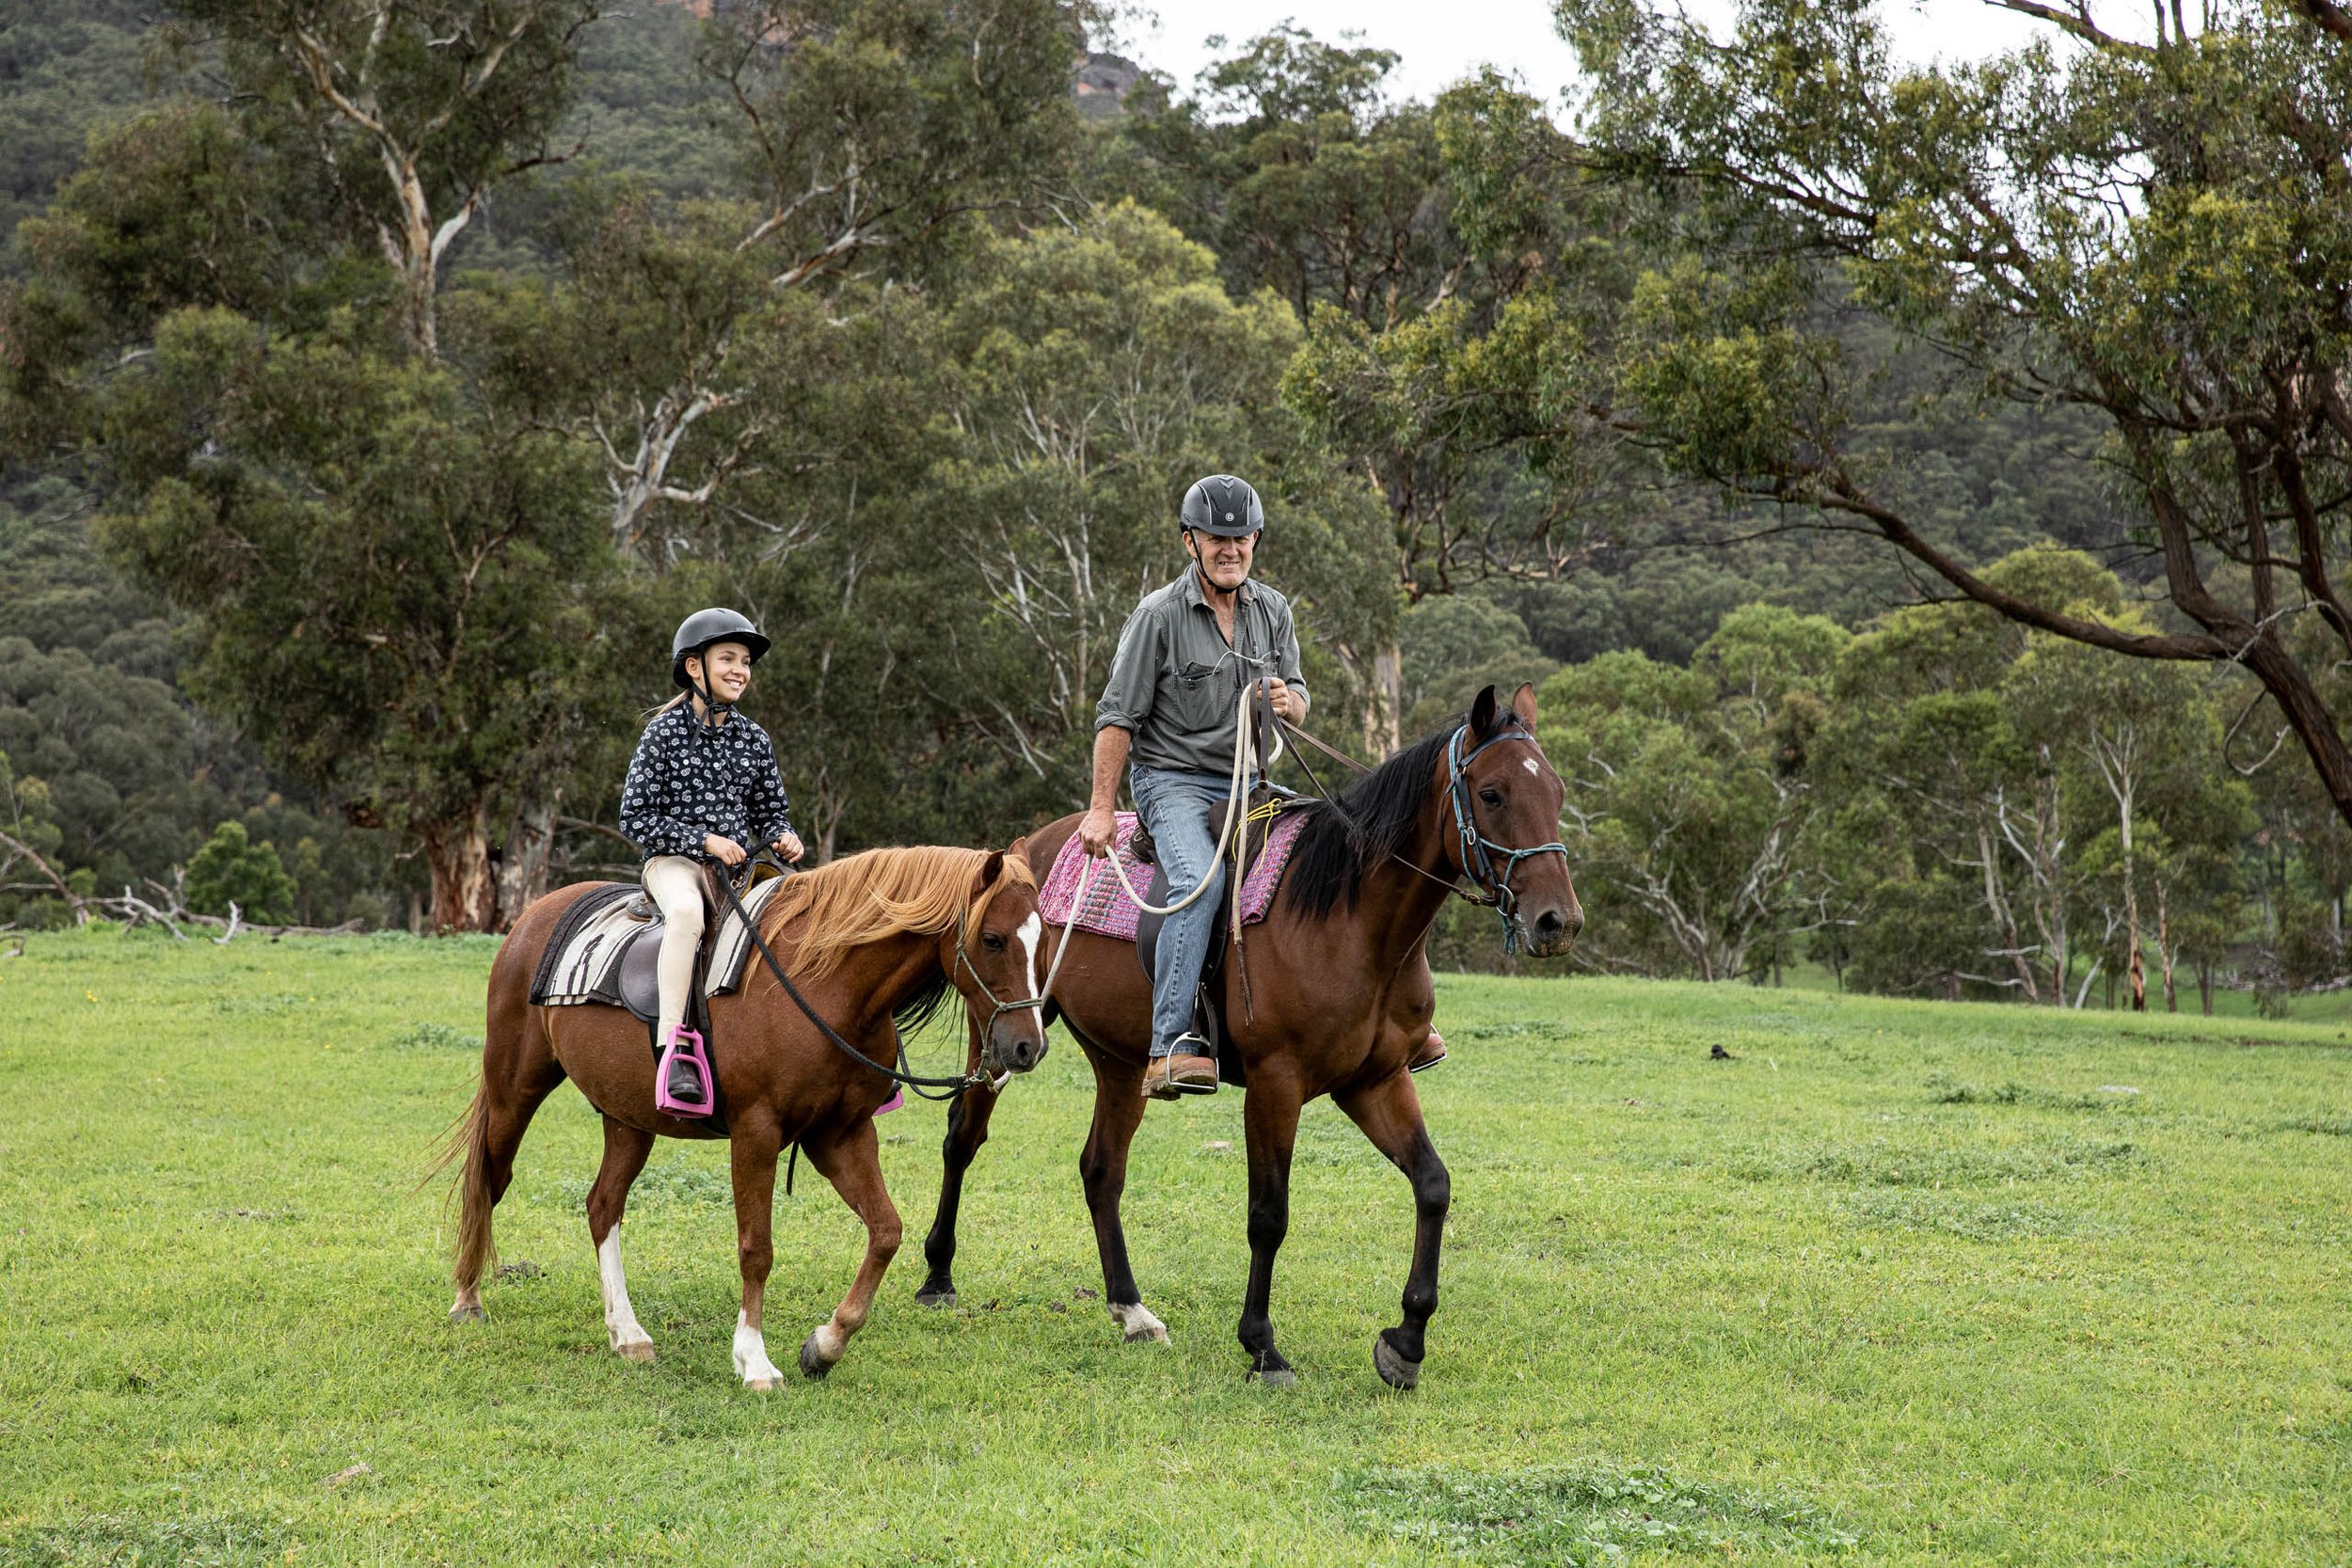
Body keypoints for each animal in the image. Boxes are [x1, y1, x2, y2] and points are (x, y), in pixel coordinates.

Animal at [442, 846, 1049, 1382]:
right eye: (992, 940)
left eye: (1041, 942)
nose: (1029, 1047)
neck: (821, 985)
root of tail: (531, 919)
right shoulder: (756, 1133)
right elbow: (757, 1249)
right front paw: (755, 1362)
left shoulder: (841, 1134)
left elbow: (886, 1231)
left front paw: (825, 1345)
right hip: (514, 1091)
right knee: (490, 1179)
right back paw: (468, 1298)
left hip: (628, 1119)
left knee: (601, 1206)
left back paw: (628, 1334)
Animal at [913, 681, 1581, 1382]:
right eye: (1493, 794)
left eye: (1557, 793)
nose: (1557, 921)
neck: (1350, 919)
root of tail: (1024, 851)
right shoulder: (1274, 1082)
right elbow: (1269, 1215)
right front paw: (1262, 1345)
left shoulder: (1376, 1080)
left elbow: (1433, 1185)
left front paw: (1405, 1340)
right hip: (1004, 1029)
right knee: (963, 1136)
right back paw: (938, 1277)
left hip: (1122, 1062)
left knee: (1101, 1169)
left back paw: (1133, 1310)